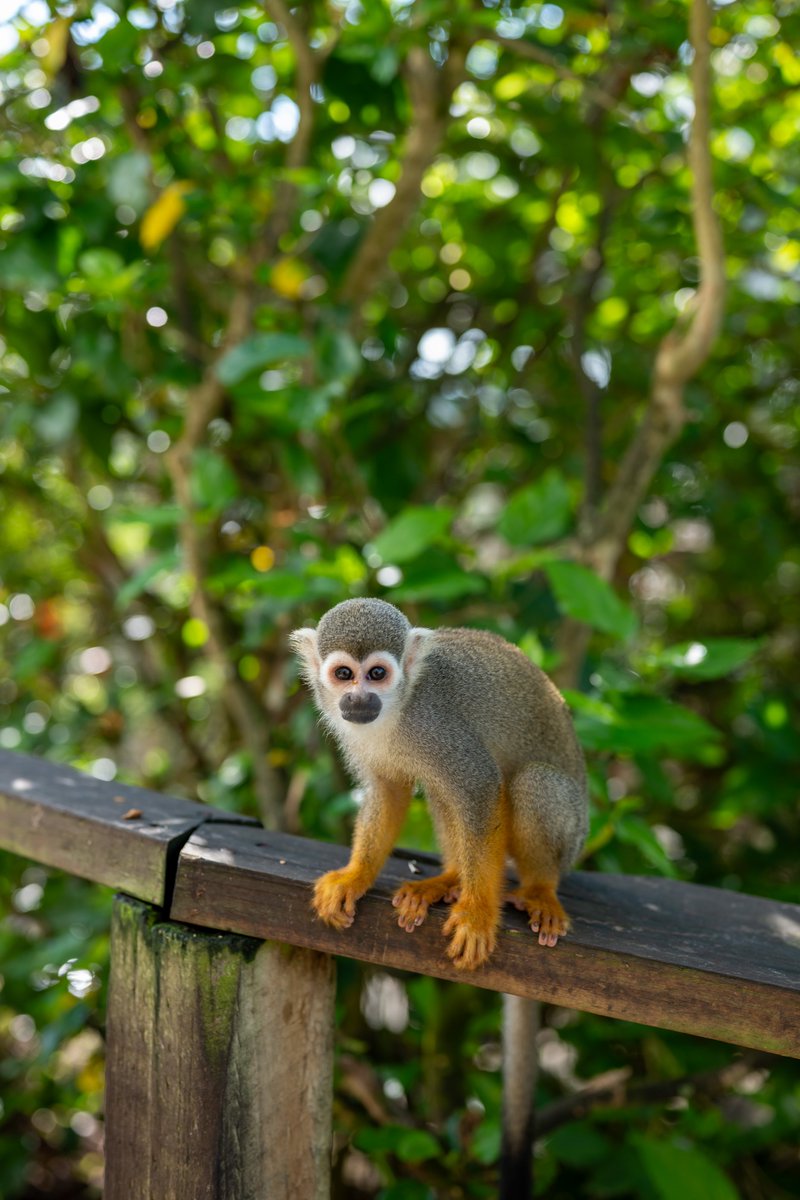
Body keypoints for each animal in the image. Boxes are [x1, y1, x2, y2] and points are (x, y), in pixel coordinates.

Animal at [290, 597, 588, 972]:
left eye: (377, 674)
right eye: (344, 674)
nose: (358, 699)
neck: (398, 708)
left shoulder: (436, 723)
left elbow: (479, 788)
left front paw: (476, 915)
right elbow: (389, 791)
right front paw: (355, 875)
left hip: (573, 836)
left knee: (535, 781)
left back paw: (539, 888)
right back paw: (452, 878)